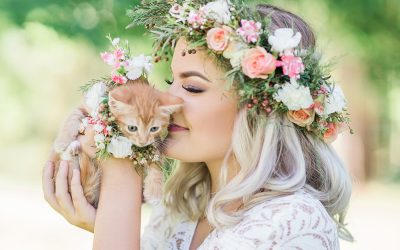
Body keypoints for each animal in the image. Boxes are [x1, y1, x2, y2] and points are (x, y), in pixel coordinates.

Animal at [53, 79, 183, 207]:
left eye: (154, 128)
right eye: (132, 128)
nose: (142, 142)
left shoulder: (155, 140)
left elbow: (157, 155)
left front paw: (154, 191)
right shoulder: (85, 107)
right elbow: (74, 115)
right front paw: (62, 142)